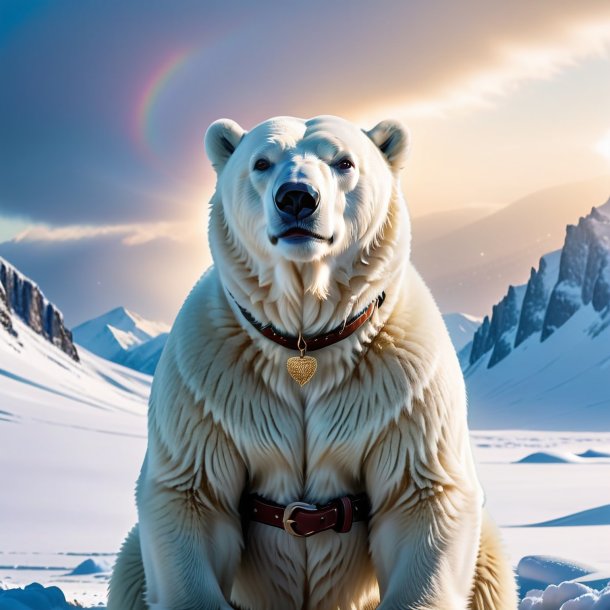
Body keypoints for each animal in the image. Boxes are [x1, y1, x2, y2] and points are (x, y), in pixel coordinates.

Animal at [107, 115, 516, 608]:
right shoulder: (210, 388)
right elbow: (193, 496)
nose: (297, 197)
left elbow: (420, 498)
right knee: (130, 570)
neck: (306, 338)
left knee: (491, 570)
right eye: (261, 162)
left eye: (344, 162)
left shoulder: (401, 390)